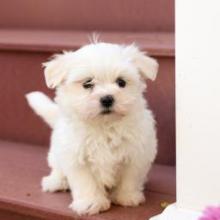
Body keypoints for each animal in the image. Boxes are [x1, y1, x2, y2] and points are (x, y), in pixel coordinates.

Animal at [25, 42, 158, 215]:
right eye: (87, 84)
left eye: (121, 82)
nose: (107, 98)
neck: (104, 126)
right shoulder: (76, 157)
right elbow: (86, 182)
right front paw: (91, 203)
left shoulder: (137, 153)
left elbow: (130, 177)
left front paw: (127, 197)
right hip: (56, 153)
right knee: (57, 168)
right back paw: (55, 181)